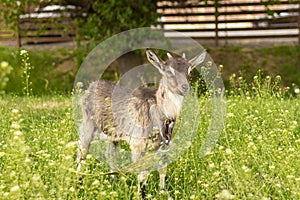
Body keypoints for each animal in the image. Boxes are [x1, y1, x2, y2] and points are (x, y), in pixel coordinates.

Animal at [76, 48, 205, 197]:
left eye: (189, 71)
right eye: (169, 71)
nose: (185, 87)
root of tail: (91, 86)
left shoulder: (164, 145)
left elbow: (163, 169)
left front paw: (164, 192)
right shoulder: (138, 145)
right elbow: (142, 175)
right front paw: (141, 195)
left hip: (113, 135)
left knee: (110, 155)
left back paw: (114, 182)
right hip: (87, 125)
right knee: (81, 153)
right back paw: (79, 185)